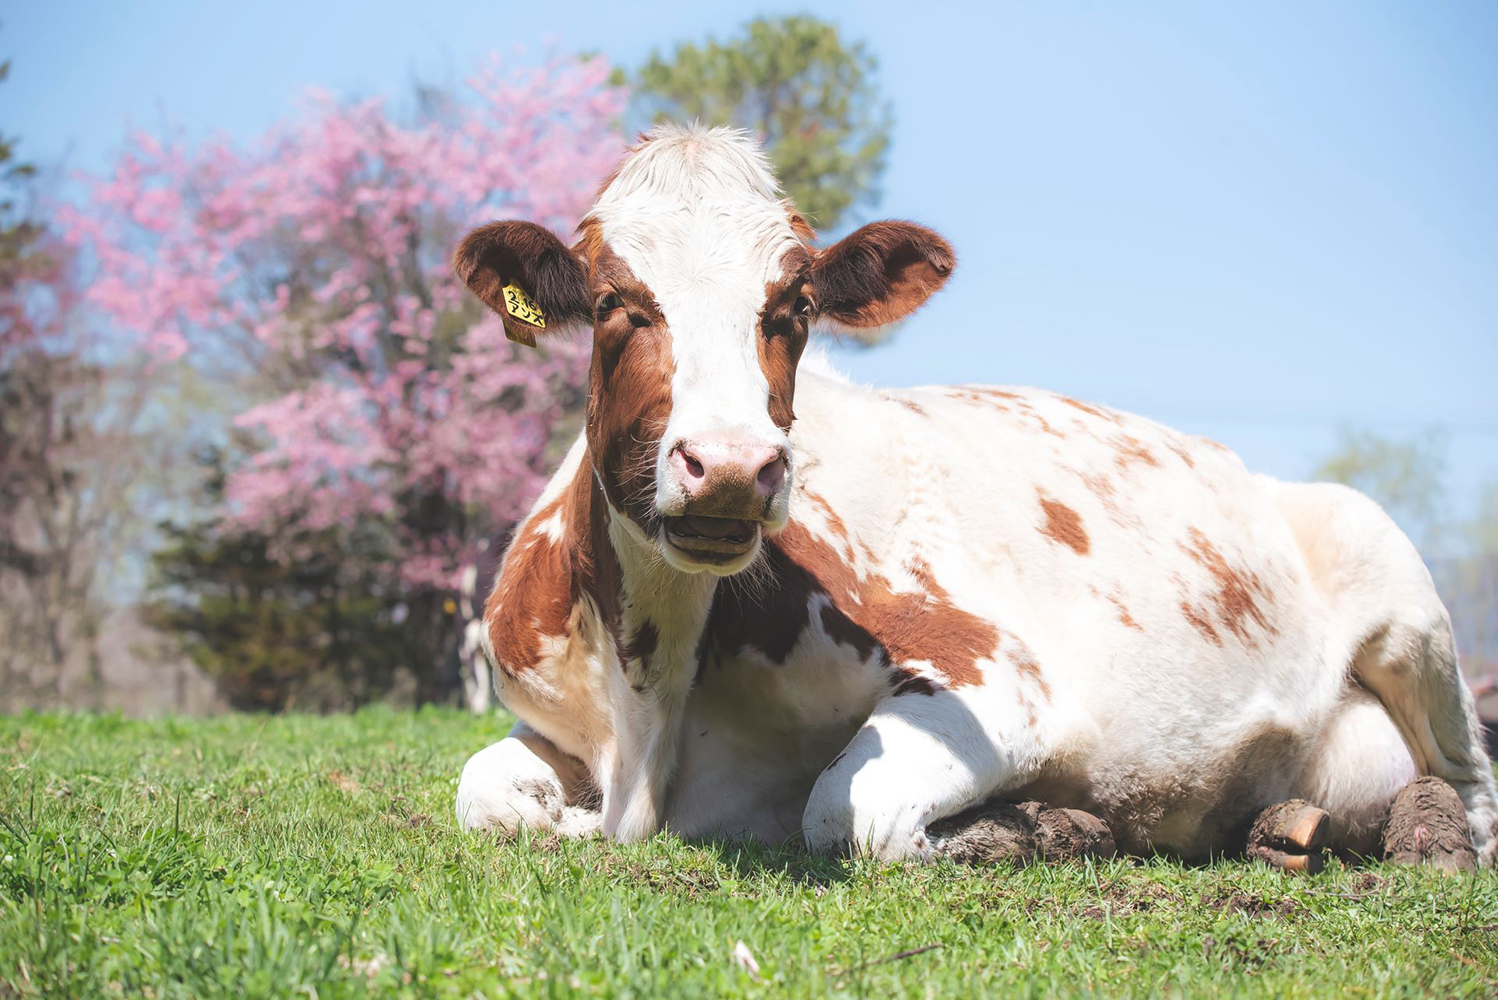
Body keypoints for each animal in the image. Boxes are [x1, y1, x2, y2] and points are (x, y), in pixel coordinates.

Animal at [449, 121, 1498, 862]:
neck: (648, 704)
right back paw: (1285, 828)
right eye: (614, 304)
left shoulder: (1000, 679)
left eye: (796, 306)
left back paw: (1434, 837)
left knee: (1472, 781)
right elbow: (482, 795)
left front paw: (1055, 827)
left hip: (1396, 582)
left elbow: (848, 813)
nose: (735, 465)